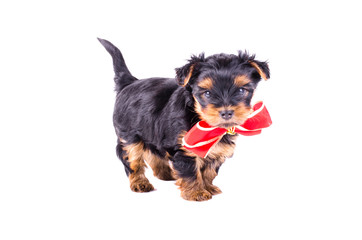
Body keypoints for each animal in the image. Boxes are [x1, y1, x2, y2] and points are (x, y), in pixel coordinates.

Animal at [98, 38, 268, 201]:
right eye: (207, 93)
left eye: (241, 91)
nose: (226, 113)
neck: (200, 117)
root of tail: (130, 82)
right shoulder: (184, 148)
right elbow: (190, 171)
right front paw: (196, 192)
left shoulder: (217, 149)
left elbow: (209, 170)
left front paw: (208, 187)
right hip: (129, 135)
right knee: (132, 158)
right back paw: (140, 183)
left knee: (153, 151)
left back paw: (166, 173)